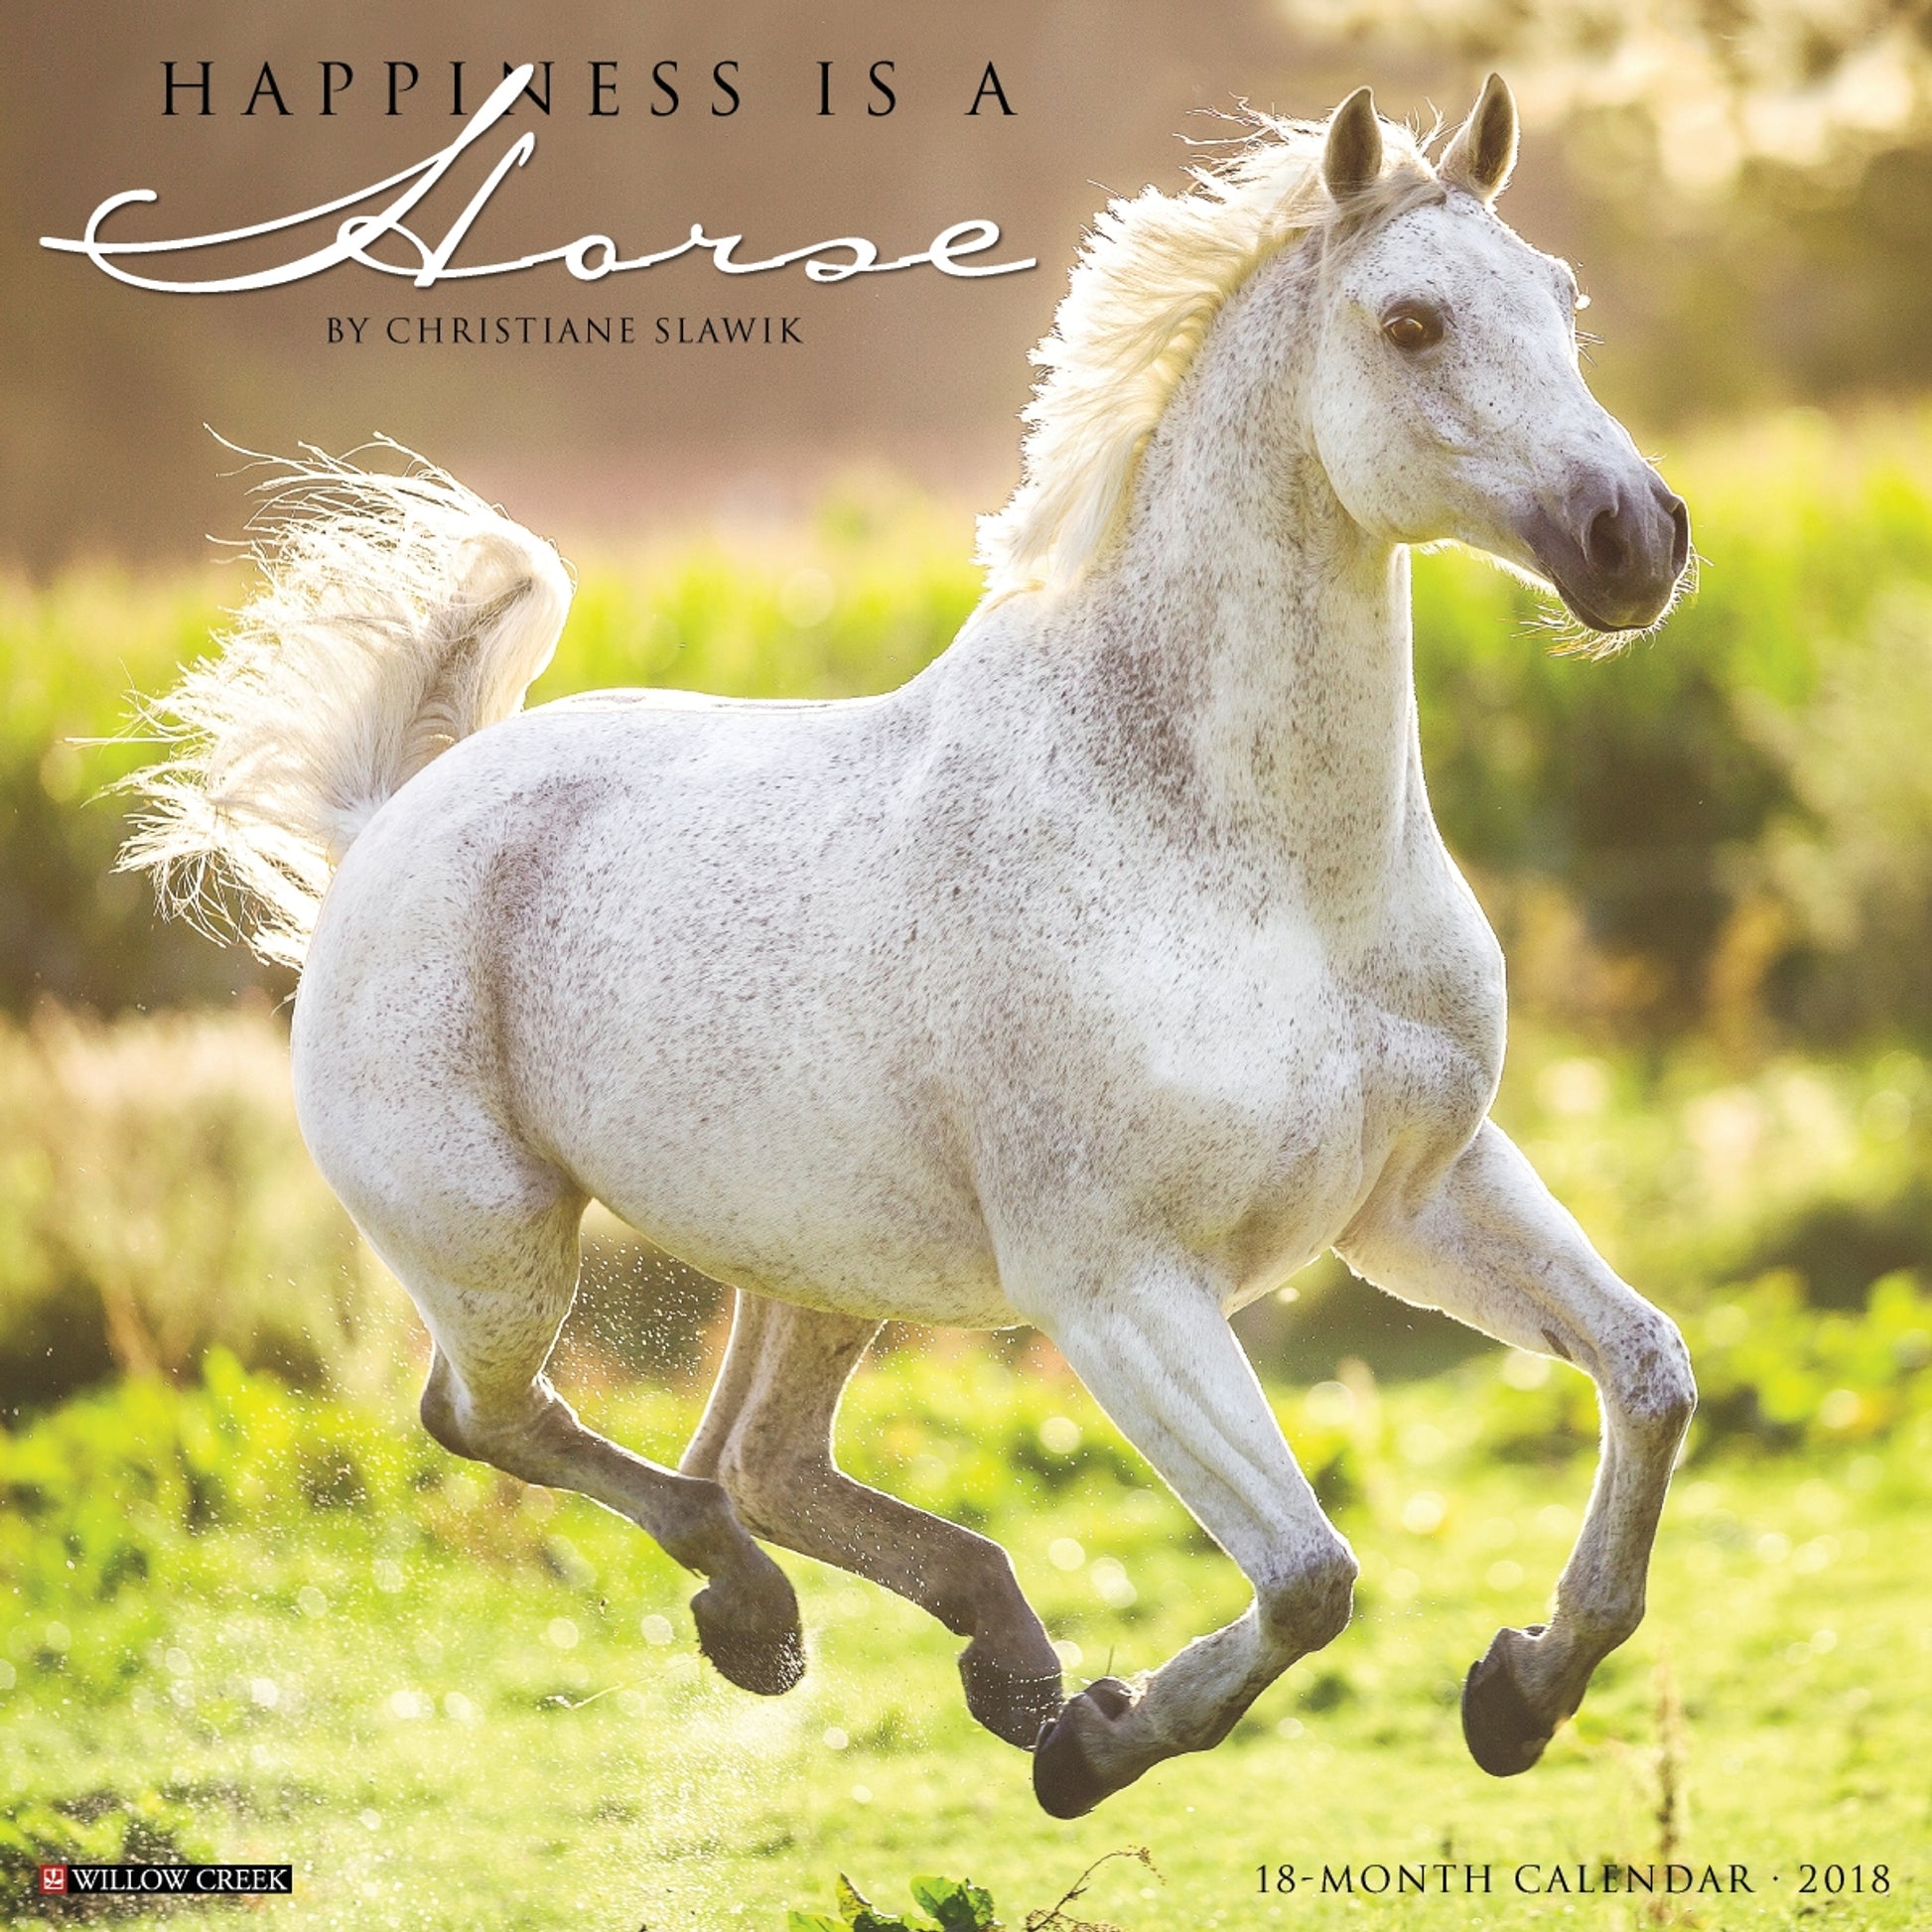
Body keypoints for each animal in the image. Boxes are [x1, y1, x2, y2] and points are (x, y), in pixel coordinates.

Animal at [121, 74, 1696, 1819]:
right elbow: (1307, 1575)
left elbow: (1650, 1375)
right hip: (495, 1240)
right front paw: (1099, 1745)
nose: (1634, 538)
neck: (1261, 871)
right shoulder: (1117, 1283)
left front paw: (1521, 1691)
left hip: (810, 1257)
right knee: (496, 1418)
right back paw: (794, 1623)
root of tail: (390, 819)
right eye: (1408, 320)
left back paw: (965, 1645)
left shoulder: (1417, 1191)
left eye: (1560, 298)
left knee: (756, 1458)